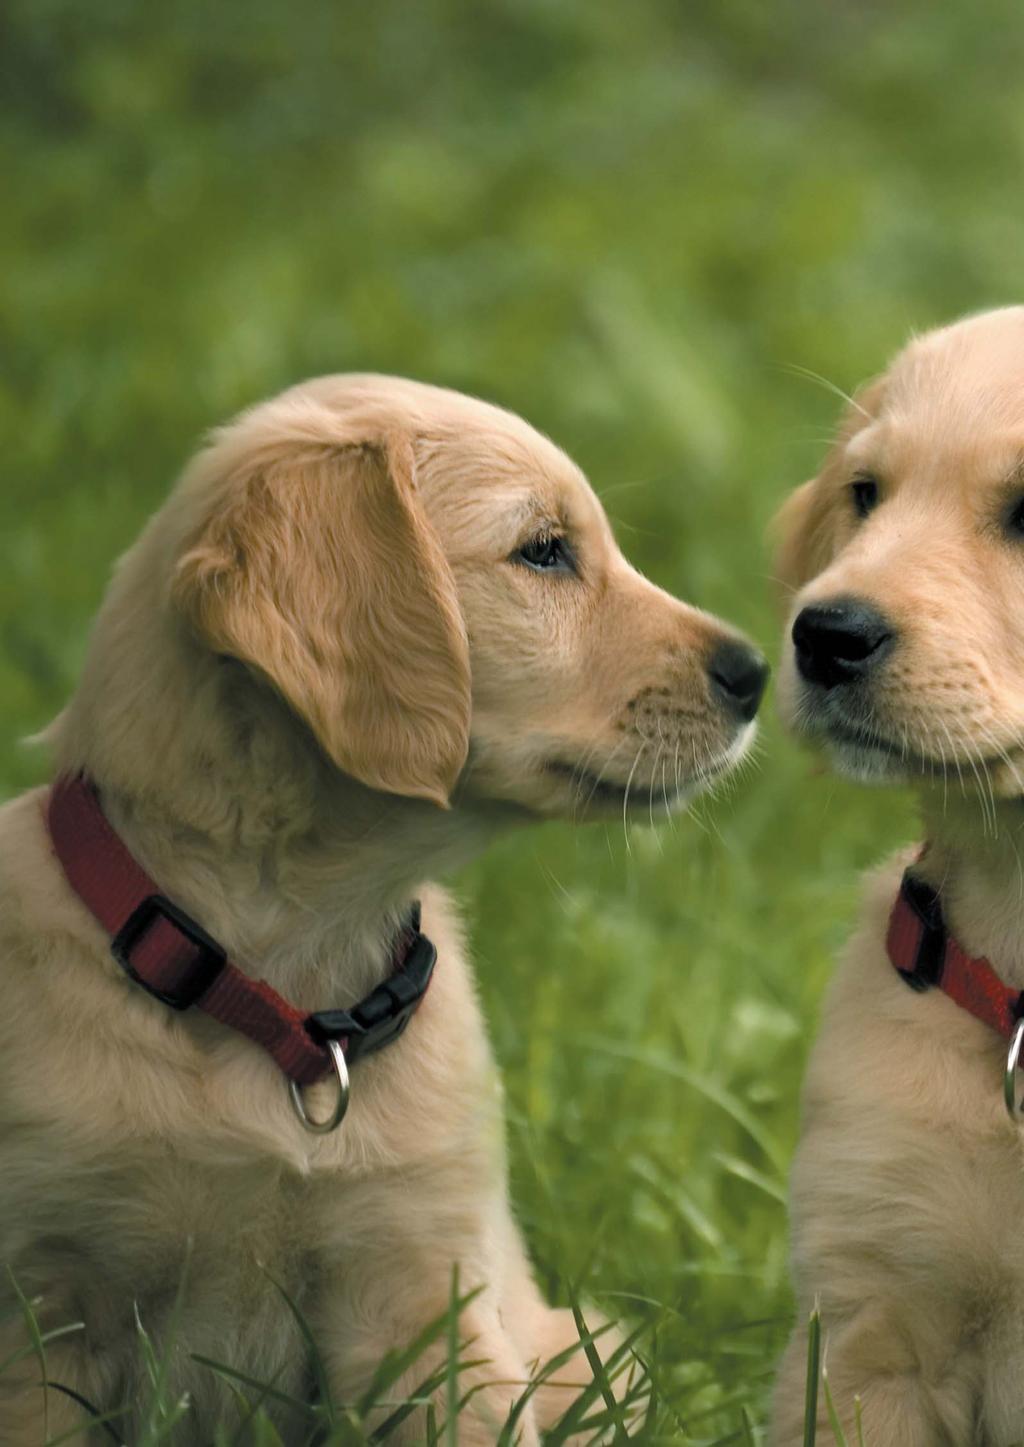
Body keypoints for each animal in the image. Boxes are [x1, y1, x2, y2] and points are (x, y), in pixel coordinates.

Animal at [0, 376, 769, 1447]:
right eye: (544, 550)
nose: (759, 673)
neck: (279, 992)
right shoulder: (44, 1311)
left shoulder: (424, 1293)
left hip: (588, 1356)